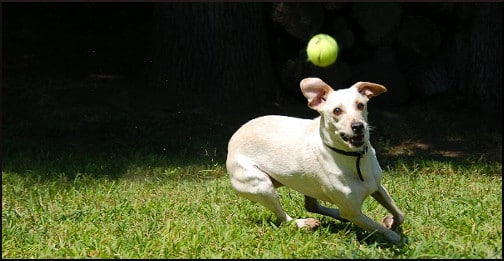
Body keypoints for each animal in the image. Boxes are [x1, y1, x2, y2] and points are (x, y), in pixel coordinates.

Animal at [226, 76, 404, 242]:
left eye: (361, 105)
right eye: (337, 110)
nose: (358, 126)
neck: (354, 158)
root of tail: (232, 141)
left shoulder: (377, 187)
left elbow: (400, 214)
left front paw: (392, 222)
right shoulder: (353, 212)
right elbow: (378, 229)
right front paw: (394, 237)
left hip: (304, 183)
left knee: (311, 205)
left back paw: (334, 215)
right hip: (261, 186)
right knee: (283, 218)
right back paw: (303, 223)